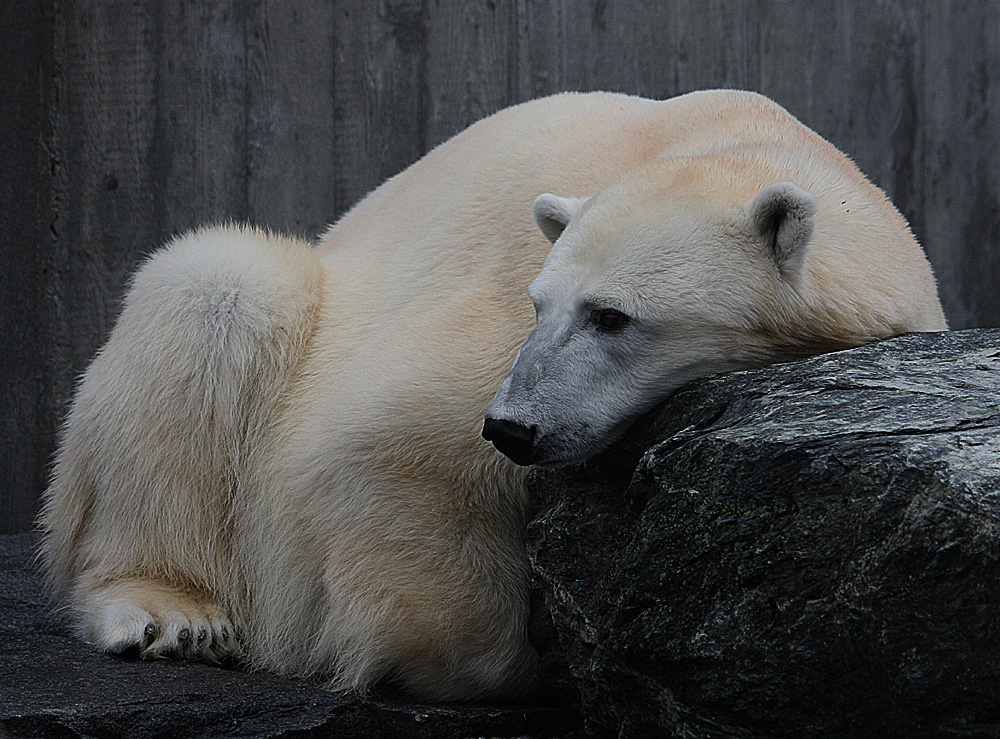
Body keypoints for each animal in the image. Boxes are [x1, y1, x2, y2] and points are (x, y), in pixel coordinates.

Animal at [39, 89, 944, 704]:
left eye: (612, 315)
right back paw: (171, 611)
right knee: (216, 287)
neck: (742, 146)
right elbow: (393, 437)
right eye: (543, 304)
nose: (513, 428)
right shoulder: (495, 309)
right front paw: (463, 658)